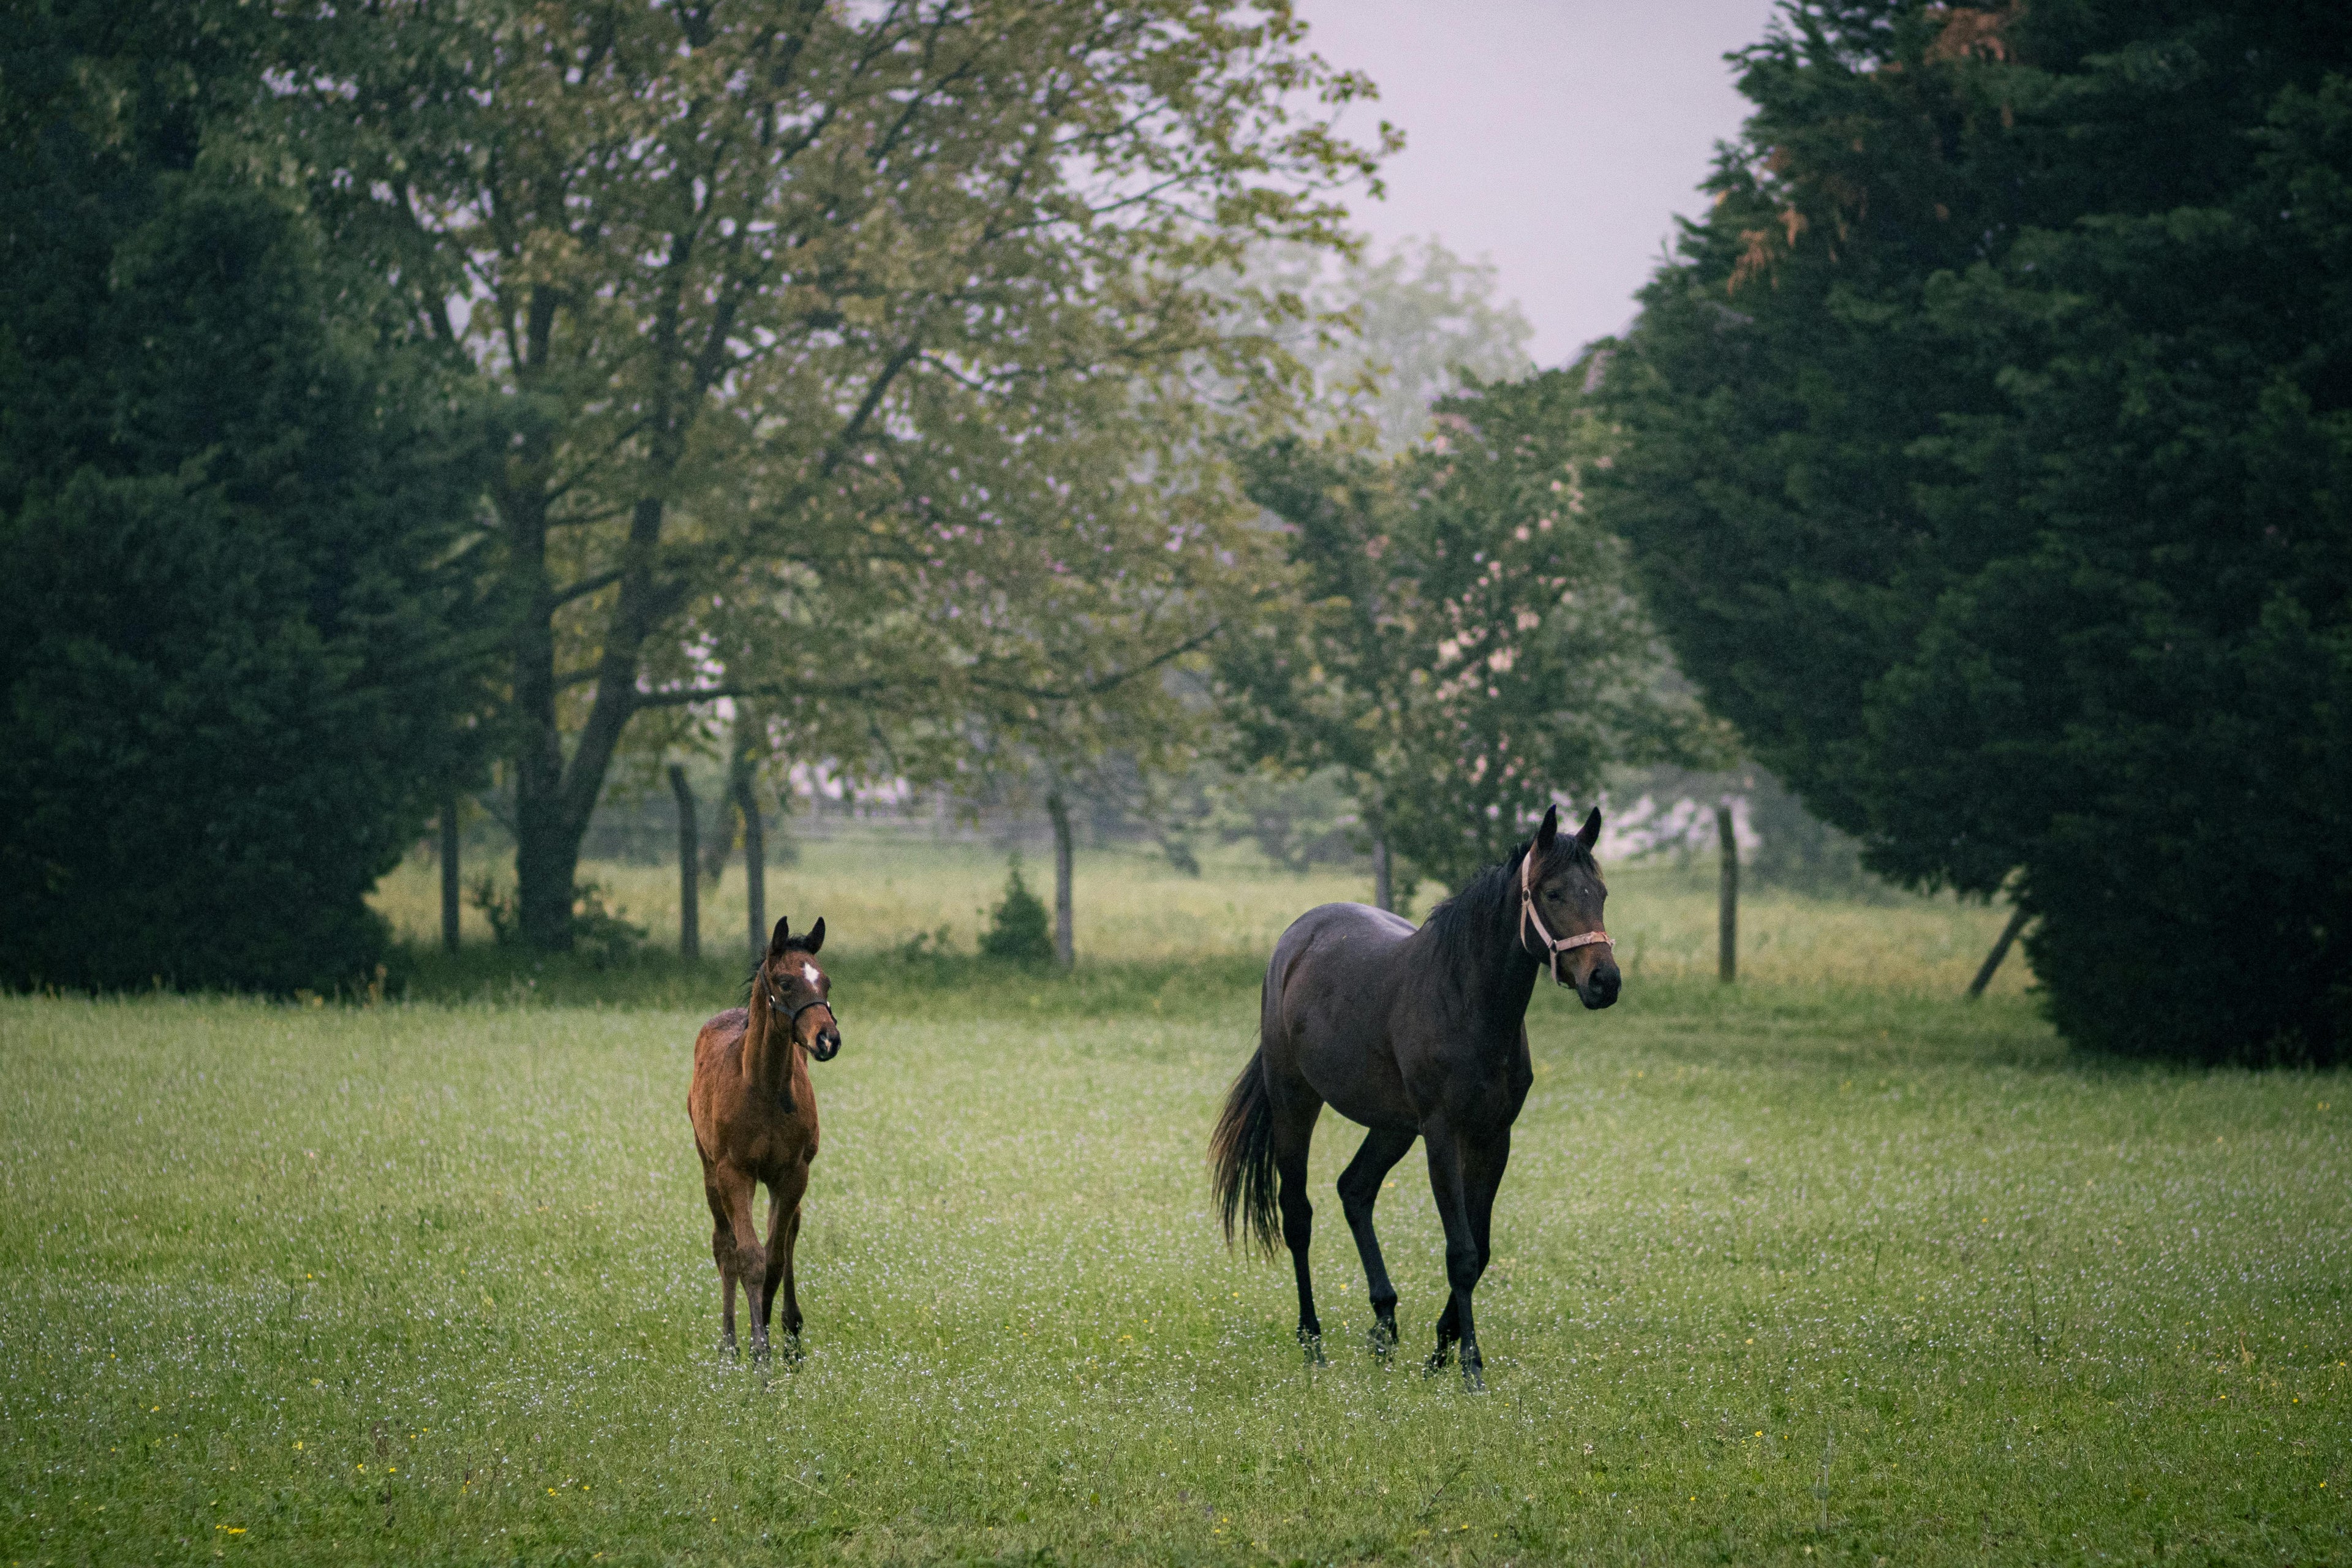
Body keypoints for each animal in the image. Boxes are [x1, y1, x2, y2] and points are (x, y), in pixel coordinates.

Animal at [686, 914, 842, 1362]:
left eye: (826, 982)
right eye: (785, 982)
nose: (828, 1039)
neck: (764, 1088)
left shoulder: (792, 1174)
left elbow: (774, 1258)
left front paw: (777, 1335)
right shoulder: (735, 1173)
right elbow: (749, 1258)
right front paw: (759, 1353)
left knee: (787, 1237)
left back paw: (788, 1330)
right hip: (710, 1170)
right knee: (724, 1246)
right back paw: (729, 1346)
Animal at [1210, 804, 1620, 1391]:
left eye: (1601, 893)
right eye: (1554, 893)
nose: (1605, 981)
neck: (1466, 1001)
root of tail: (1296, 940)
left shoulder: (1494, 1138)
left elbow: (1481, 1248)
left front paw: (1440, 1351)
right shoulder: (1443, 1135)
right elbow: (1463, 1251)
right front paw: (1469, 1365)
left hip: (1392, 1125)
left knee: (1355, 1190)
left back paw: (1383, 1326)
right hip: (1296, 1103)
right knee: (1298, 1214)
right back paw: (1313, 1341)